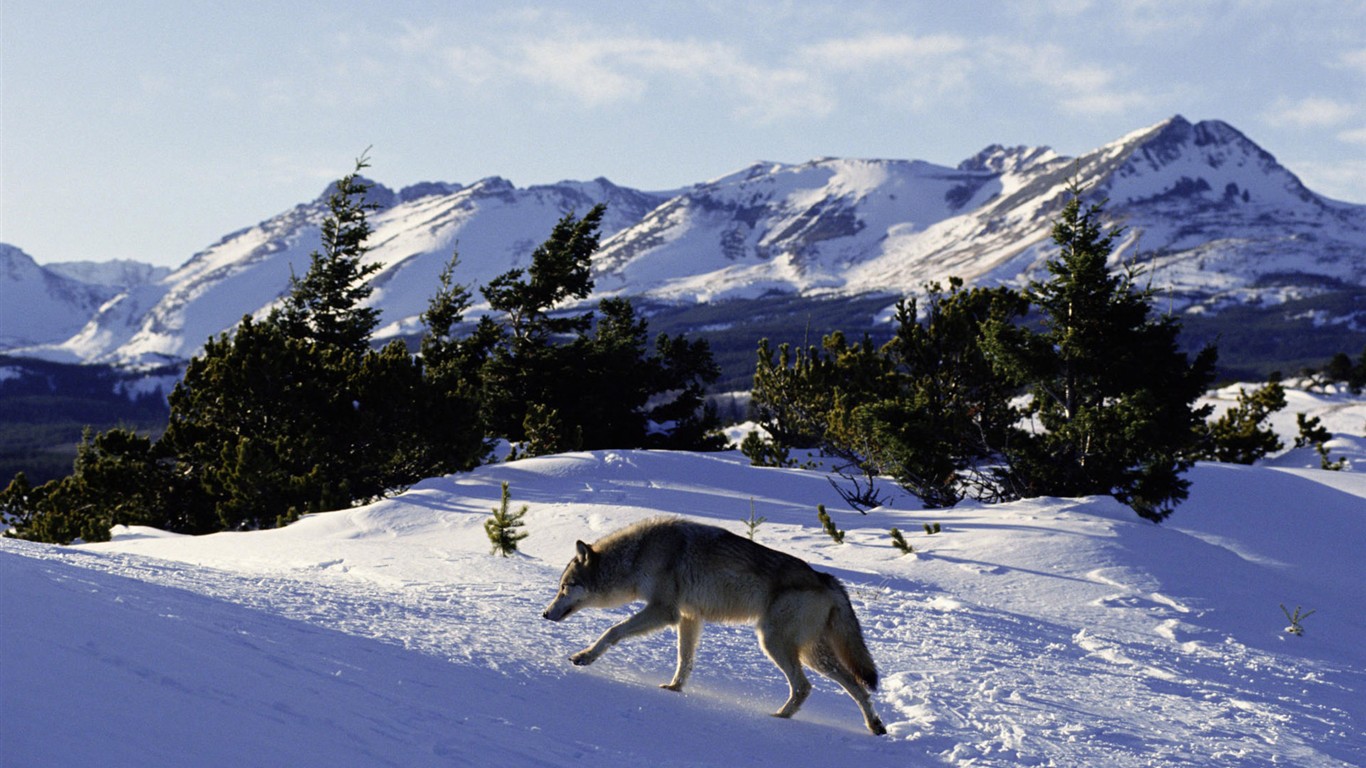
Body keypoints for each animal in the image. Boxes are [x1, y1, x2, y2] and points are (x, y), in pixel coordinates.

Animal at [543, 513, 885, 727]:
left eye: (564, 588)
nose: (545, 613)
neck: (638, 554)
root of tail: (827, 579)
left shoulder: (663, 611)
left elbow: (612, 631)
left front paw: (585, 657)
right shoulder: (688, 617)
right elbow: (685, 660)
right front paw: (674, 688)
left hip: (775, 644)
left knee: (804, 687)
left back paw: (779, 718)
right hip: (813, 655)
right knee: (857, 686)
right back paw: (875, 726)